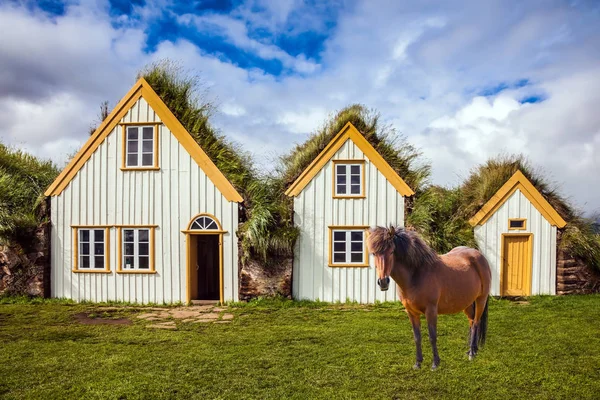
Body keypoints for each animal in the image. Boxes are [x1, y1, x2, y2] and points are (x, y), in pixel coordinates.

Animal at [366, 227, 492, 370]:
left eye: (392, 251)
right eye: (374, 254)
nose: (383, 282)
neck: (416, 274)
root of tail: (479, 255)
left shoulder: (431, 310)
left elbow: (432, 336)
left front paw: (435, 363)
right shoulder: (411, 312)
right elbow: (417, 337)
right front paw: (418, 363)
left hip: (481, 299)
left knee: (476, 322)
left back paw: (471, 353)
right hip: (467, 303)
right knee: (471, 322)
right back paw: (472, 350)